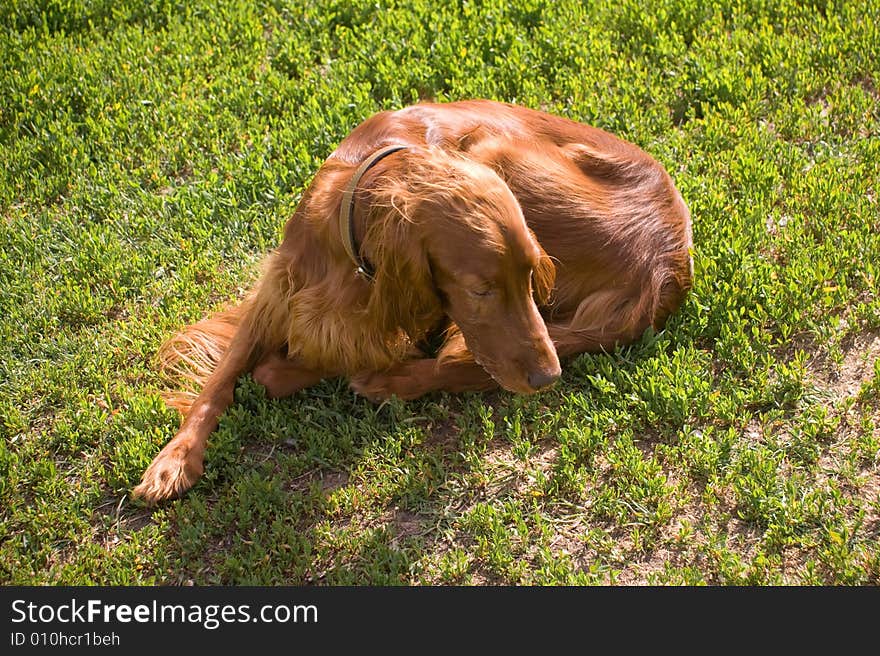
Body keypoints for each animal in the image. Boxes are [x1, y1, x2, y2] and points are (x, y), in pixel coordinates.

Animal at [132, 100, 696, 504]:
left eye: (532, 278)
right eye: (481, 289)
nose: (548, 378)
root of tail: (668, 261)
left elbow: (321, 358)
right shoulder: (280, 289)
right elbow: (220, 380)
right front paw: (173, 461)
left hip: (497, 152)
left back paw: (383, 383)